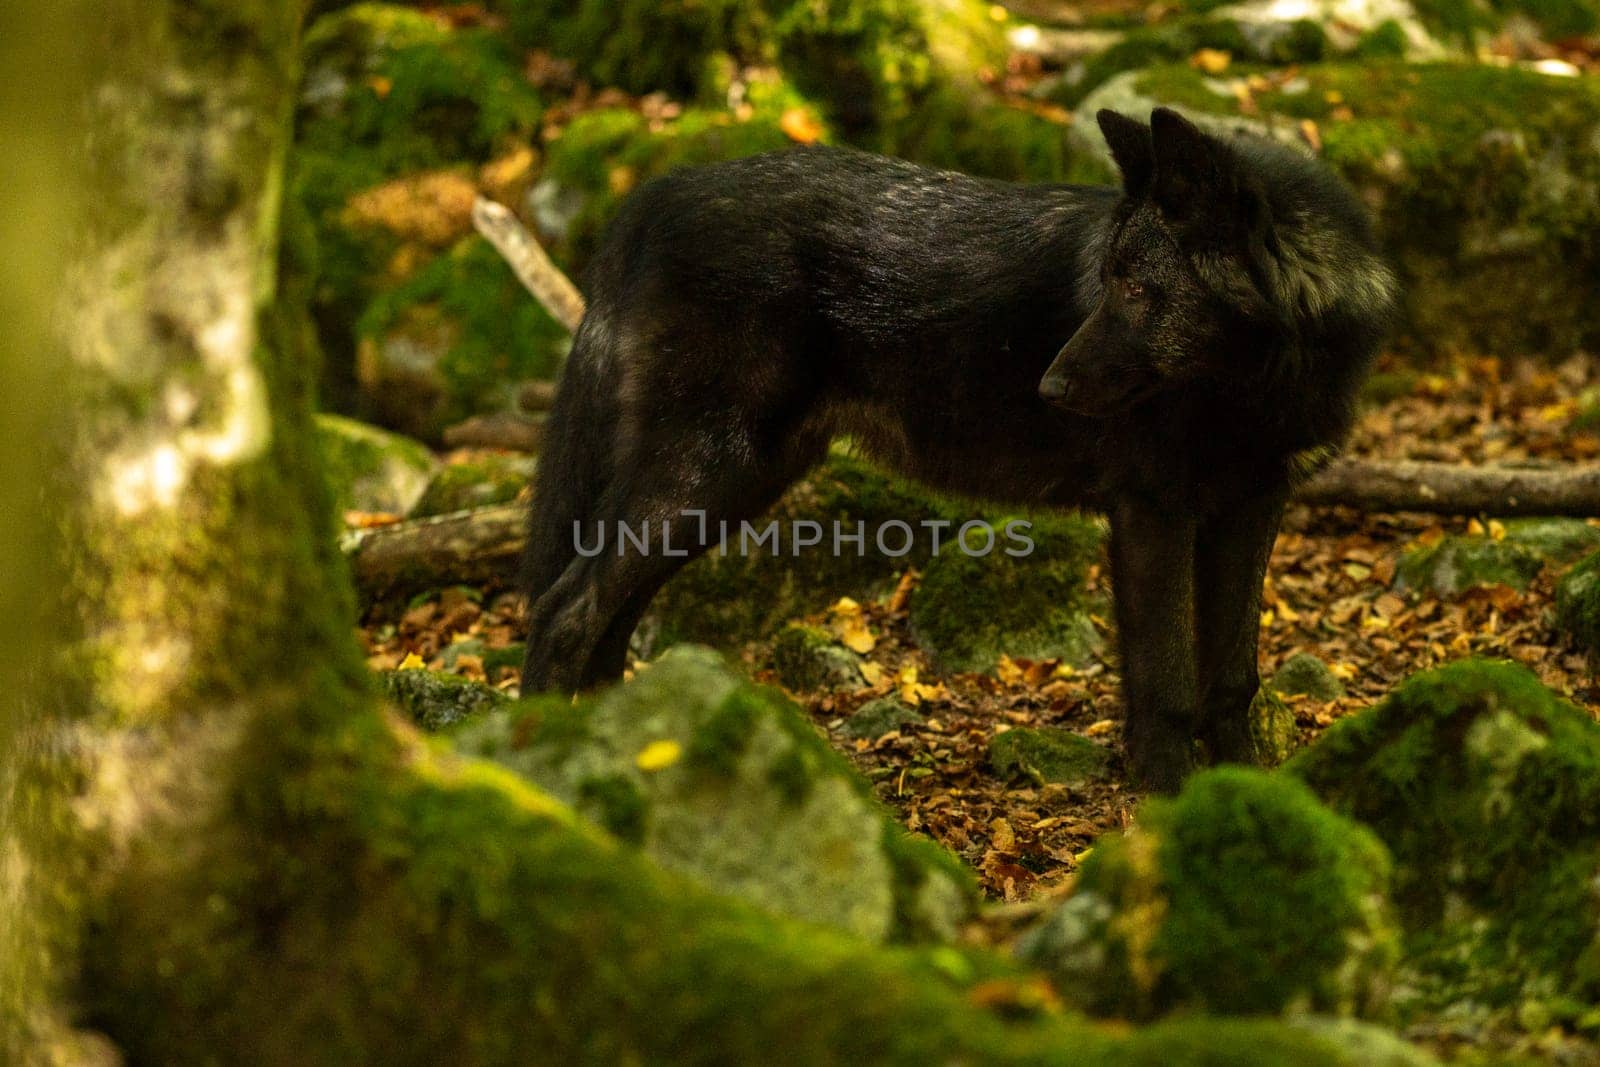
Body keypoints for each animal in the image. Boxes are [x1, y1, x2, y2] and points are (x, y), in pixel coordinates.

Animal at [518, 108, 1395, 793]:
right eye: (1109, 282)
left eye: (1138, 291)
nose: (1049, 385)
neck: (1259, 386)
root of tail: (657, 193)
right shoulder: (1153, 513)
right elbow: (1166, 681)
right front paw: (1170, 799)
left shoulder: (1252, 505)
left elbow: (1231, 678)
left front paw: (1249, 788)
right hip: (707, 475)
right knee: (563, 609)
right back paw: (531, 759)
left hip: (735, 487)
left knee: (608, 620)